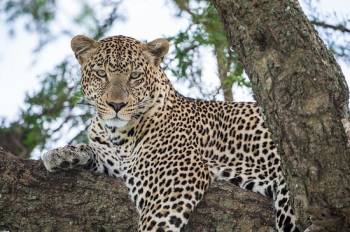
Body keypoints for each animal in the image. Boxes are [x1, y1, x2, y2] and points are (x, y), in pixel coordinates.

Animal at [40, 34, 298, 232]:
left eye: (135, 76)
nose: (116, 105)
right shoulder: (117, 160)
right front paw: (61, 154)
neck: (119, 135)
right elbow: (94, 150)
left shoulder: (175, 184)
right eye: (101, 74)